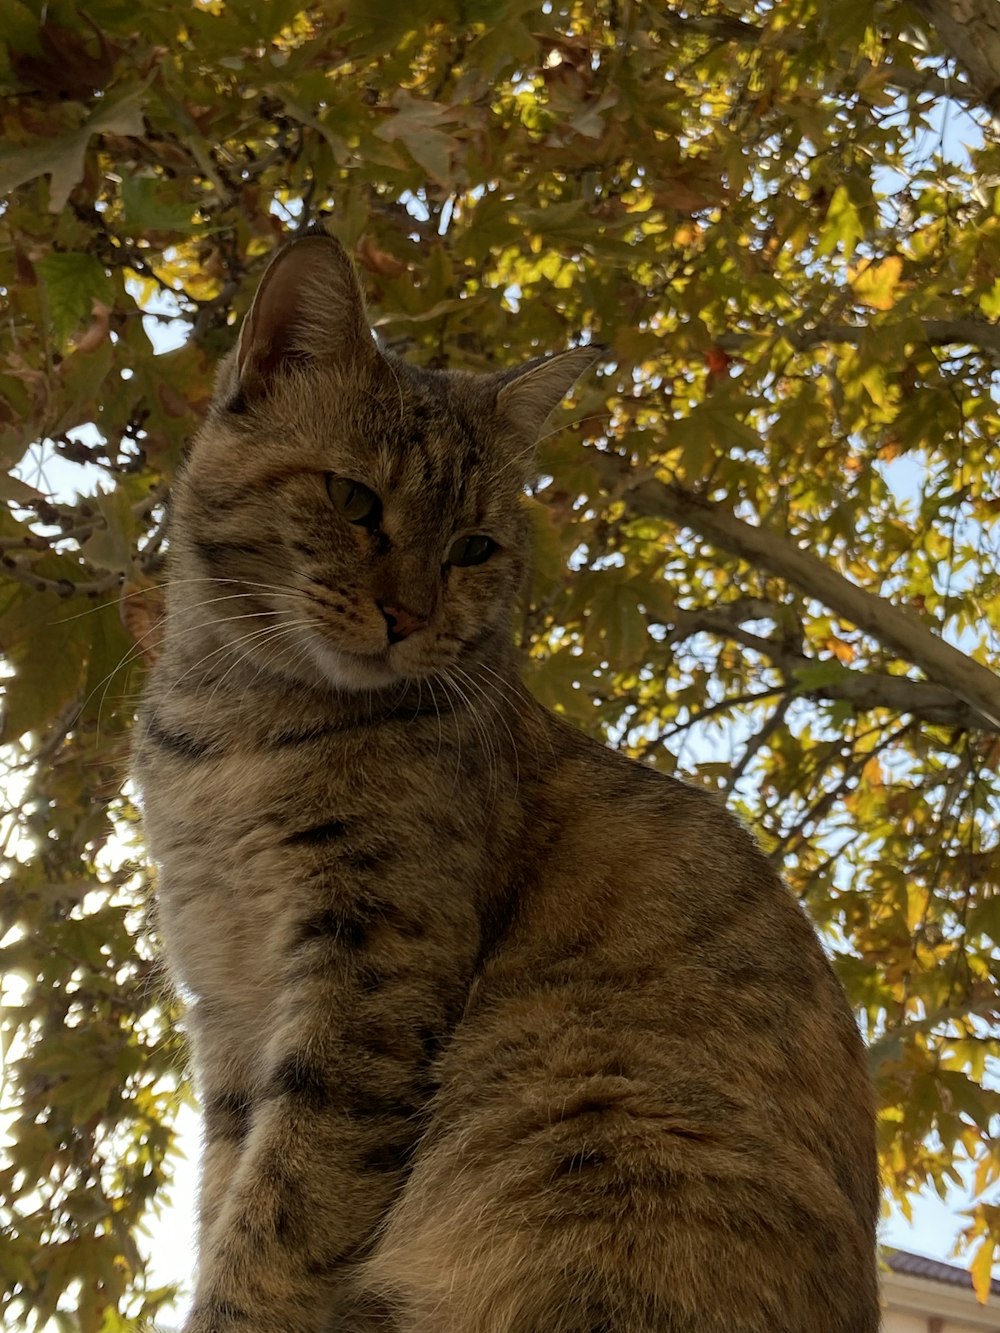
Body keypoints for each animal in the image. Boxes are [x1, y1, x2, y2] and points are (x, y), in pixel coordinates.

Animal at [133, 234, 874, 1327]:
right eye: (355, 501)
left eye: (473, 547)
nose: (409, 615)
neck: (231, 731)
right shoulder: (227, 1014)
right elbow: (233, 1190)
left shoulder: (368, 977)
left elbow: (278, 1216)